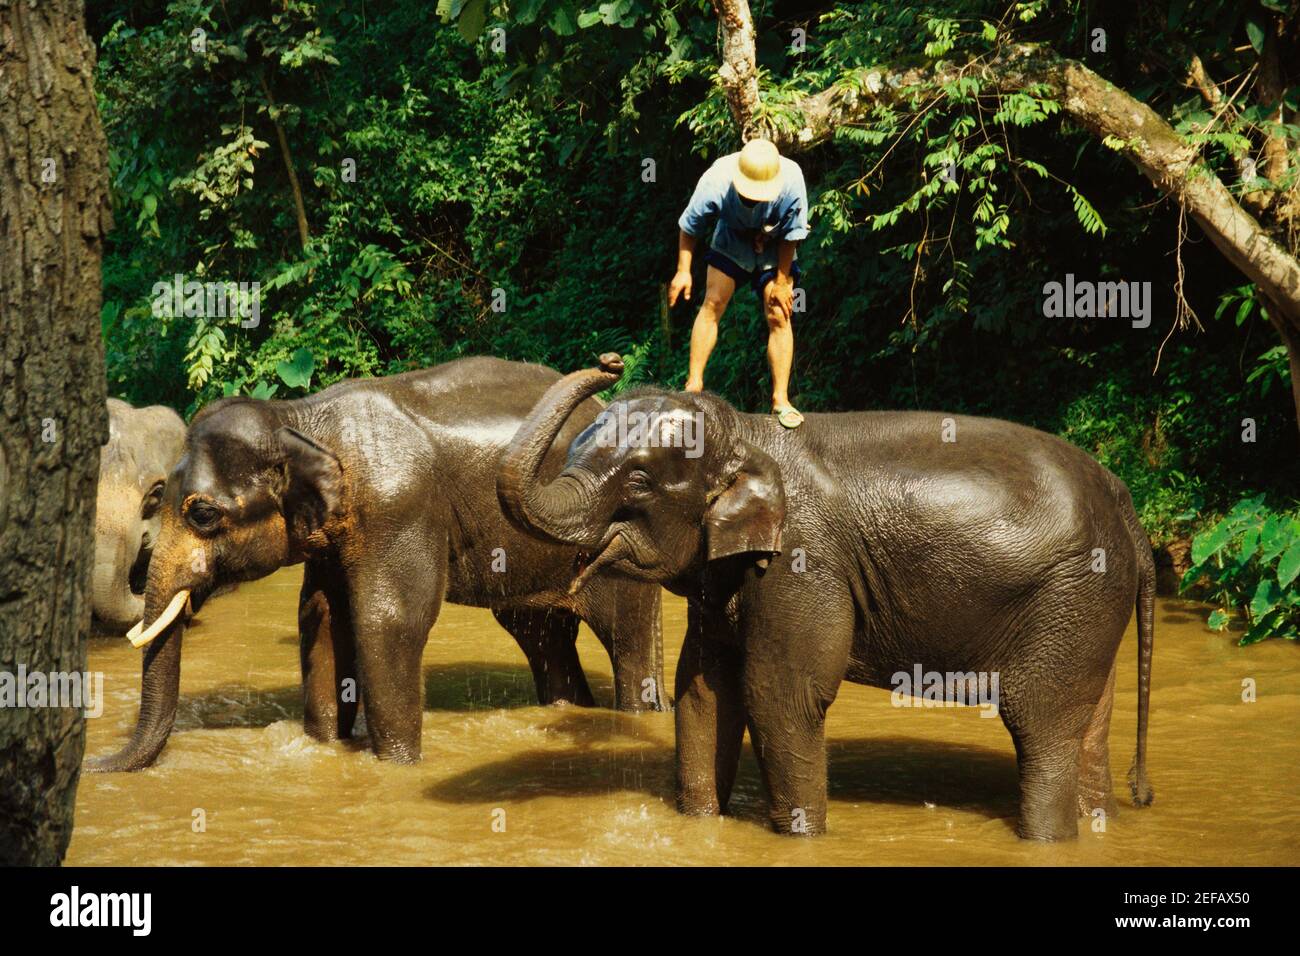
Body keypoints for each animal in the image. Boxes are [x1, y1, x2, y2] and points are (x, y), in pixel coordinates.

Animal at [498, 354, 1155, 841]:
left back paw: (1047, 837)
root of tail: (1127, 504)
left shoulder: (803, 563)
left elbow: (780, 696)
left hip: (1073, 594)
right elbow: (704, 690)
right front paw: (701, 828)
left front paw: (802, 839)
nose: (610, 361)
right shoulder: (729, 574)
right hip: (1092, 604)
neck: (746, 433)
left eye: (638, 481)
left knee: (1040, 723)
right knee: (1089, 725)